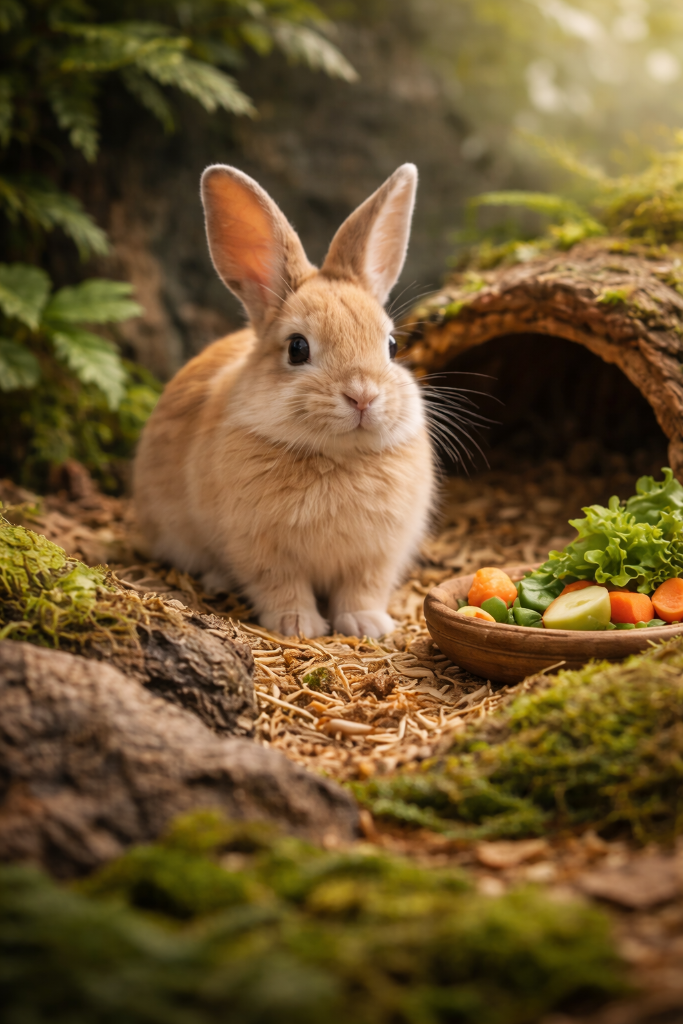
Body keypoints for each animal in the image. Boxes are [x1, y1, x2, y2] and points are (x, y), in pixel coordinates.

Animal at [133, 162, 435, 639]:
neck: (338, 458)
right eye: (297, 348)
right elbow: (280, 584)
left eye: (391, 346)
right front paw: (299, 625)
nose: (363, 395)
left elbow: (363, 588)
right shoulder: (259, 548)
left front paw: (367, 624)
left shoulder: (377, 555)